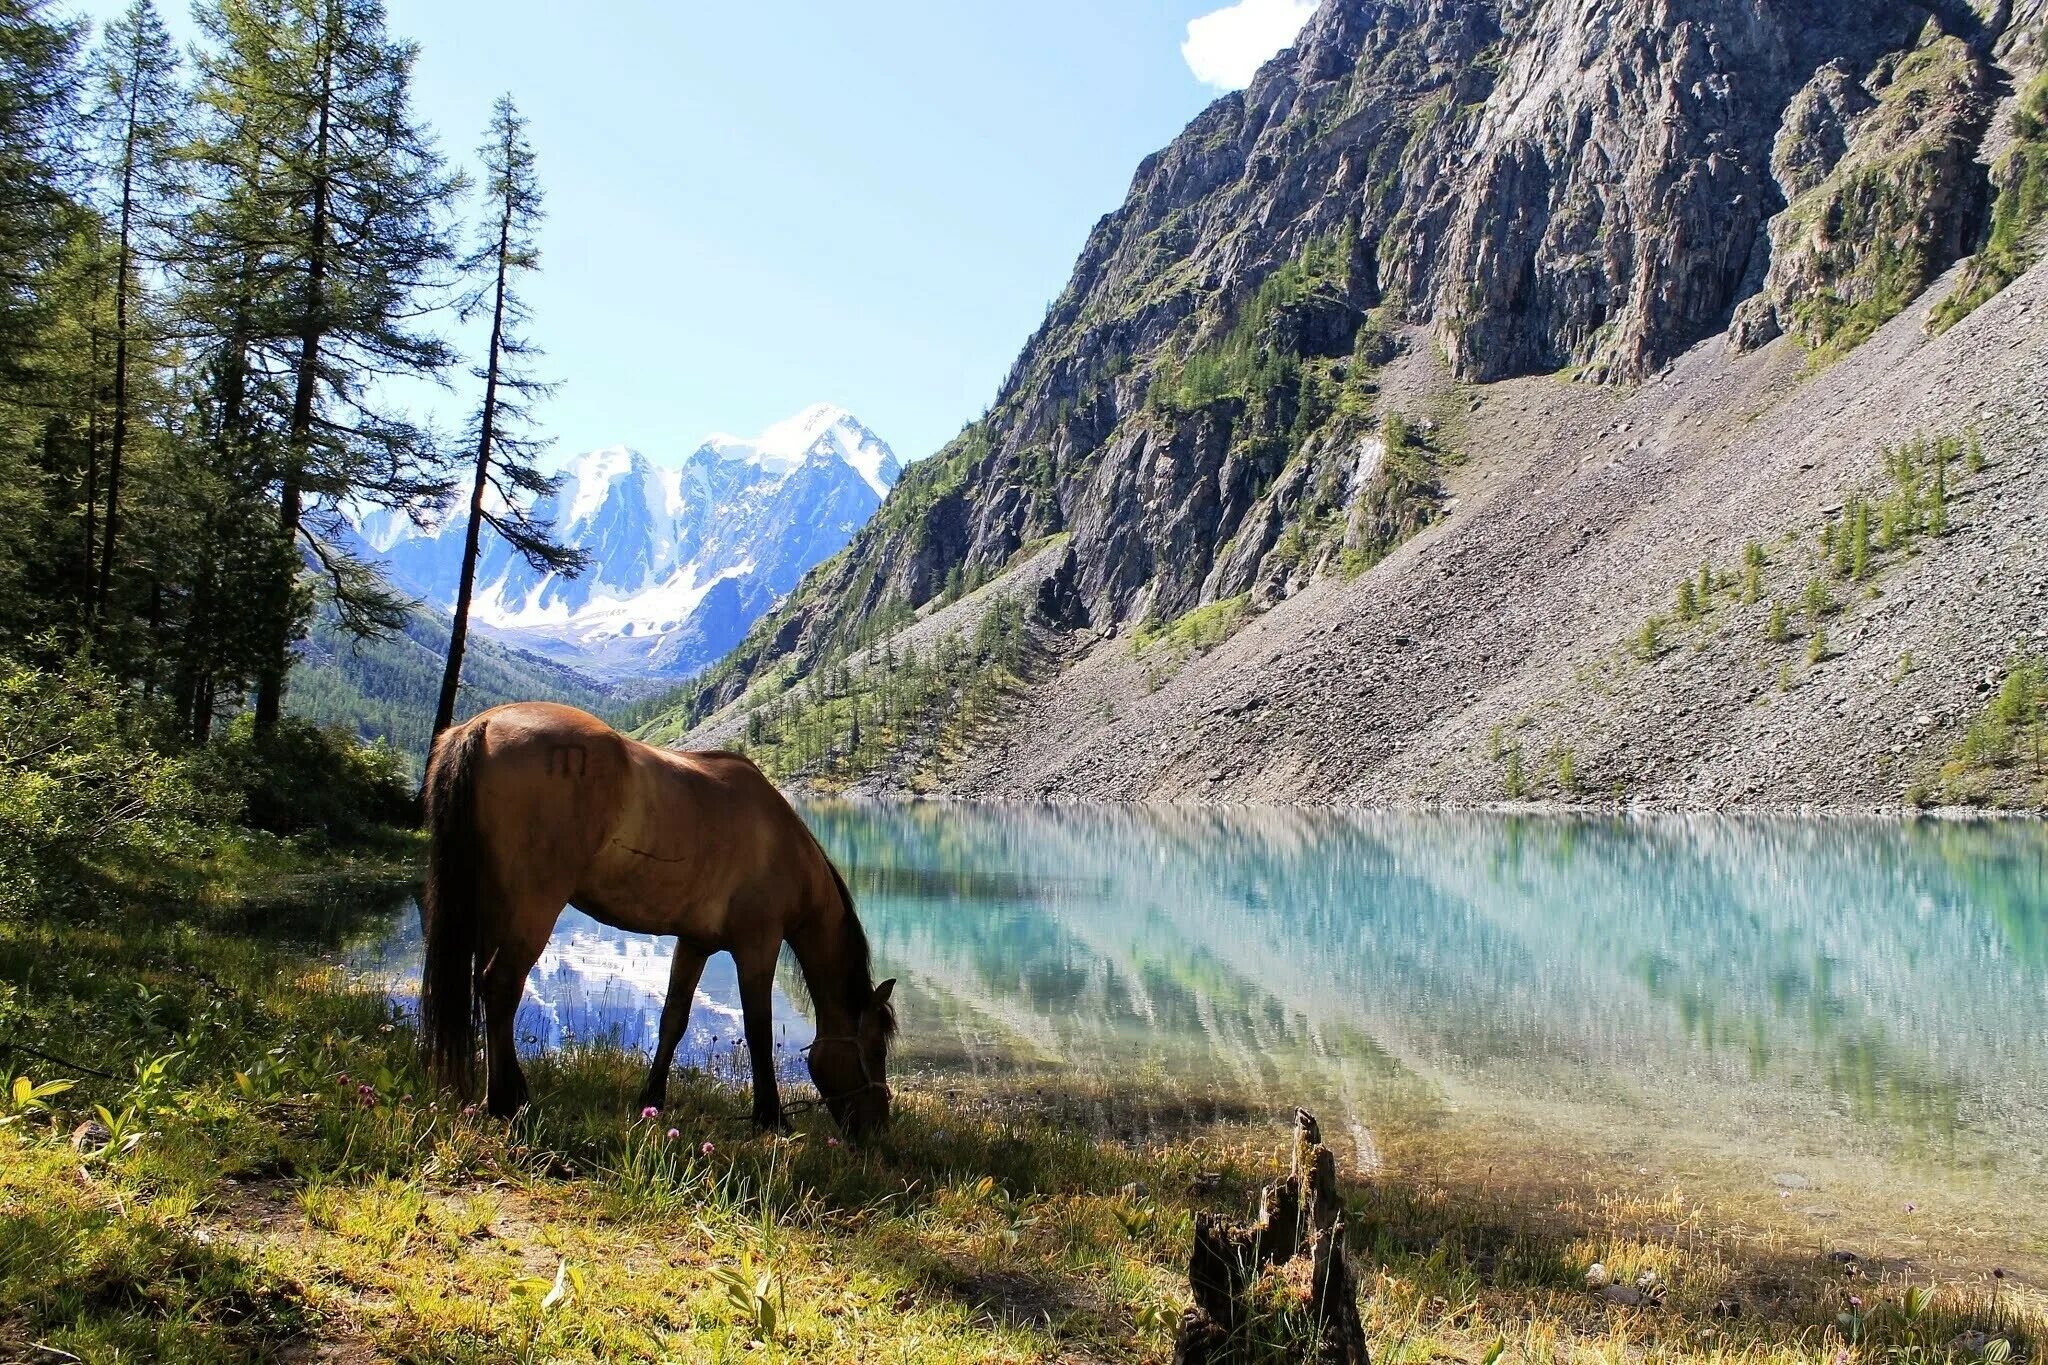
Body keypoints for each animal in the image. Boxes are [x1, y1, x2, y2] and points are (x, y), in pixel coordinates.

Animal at [415, 703, 897, 1129]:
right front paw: (769, 1117)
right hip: (534, 905)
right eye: (876, 1052)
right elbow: (758, 1031)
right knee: (500, 985)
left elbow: (673, 1020)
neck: (784, 846)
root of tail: (484, 723)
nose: (876, 1130)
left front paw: (652, 1098)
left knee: (487, 986)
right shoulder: (758, 946)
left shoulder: (696, 943)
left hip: (493, 905)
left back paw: (508, 1093)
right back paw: (504, 1102)